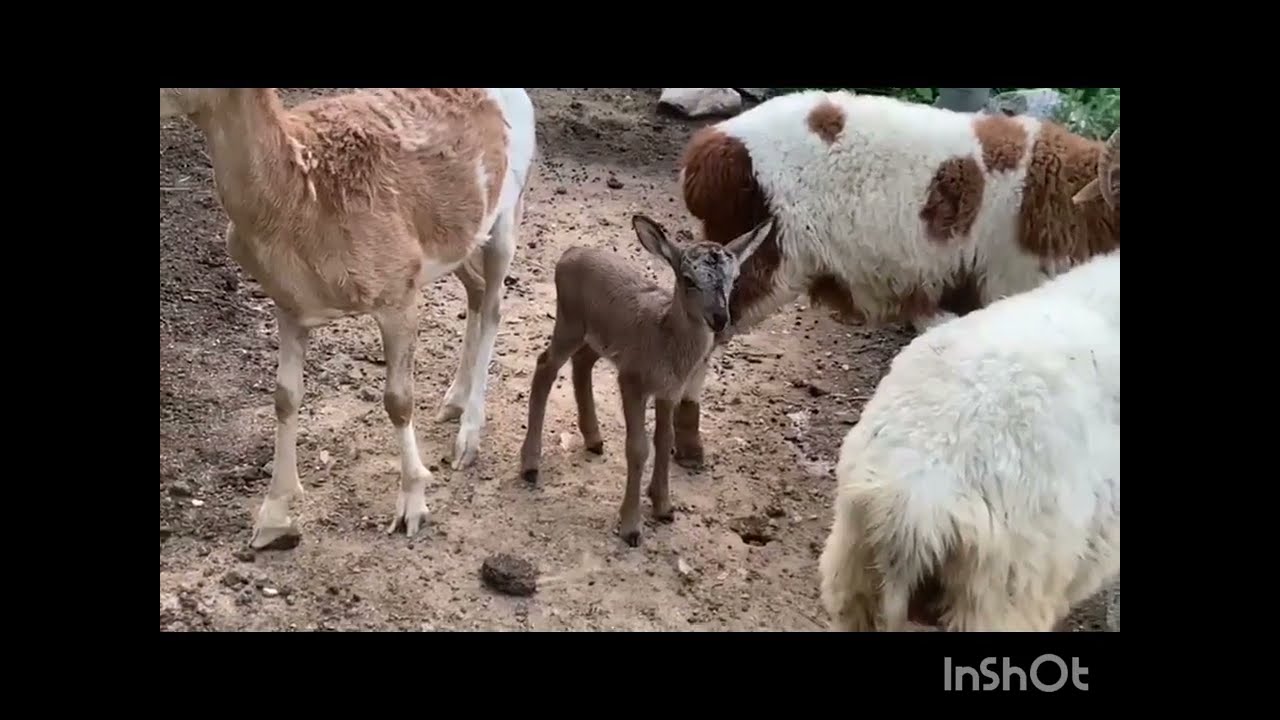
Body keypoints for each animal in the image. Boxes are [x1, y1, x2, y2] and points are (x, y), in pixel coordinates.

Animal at [159, 88, 537, 549]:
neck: (299, 204)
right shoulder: (290, 306)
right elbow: (285, 396)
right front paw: (272, 518)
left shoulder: (397, 292)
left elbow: (398, 400)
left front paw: (412, 508)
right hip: (458, 243)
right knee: (478, 291)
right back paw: (453, 401)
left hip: (508, 211)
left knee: (497, 301)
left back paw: (467, 440)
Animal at [518, 214, 775, 546]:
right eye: (688, 279)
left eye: (734, 279)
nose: (720, 318)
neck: (663, 340)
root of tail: (569, 253)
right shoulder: (632, 380)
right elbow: (638, 447)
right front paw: (631, 526)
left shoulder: (669, 391)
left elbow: (664, 440)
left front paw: (664, 506)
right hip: (569, 322)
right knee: (545, 366)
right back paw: (530, 465)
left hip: (597, 337)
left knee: (582, 362)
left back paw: (594, 439)